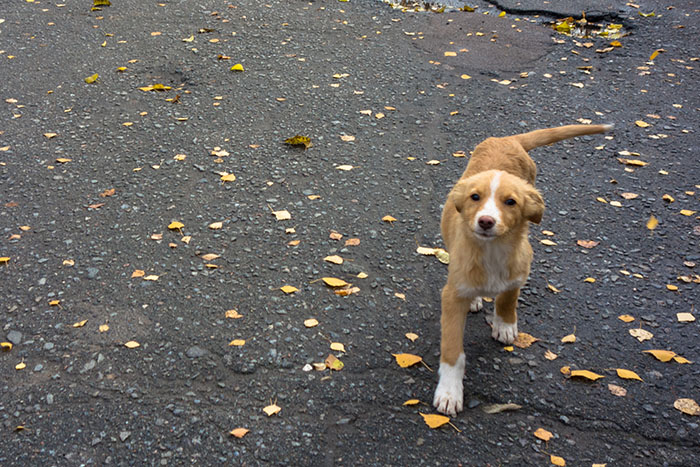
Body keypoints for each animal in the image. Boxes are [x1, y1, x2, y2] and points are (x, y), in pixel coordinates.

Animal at [434, 124, 608, 416]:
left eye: (511, 202)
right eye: (475, 197)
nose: (486, 221)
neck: (492, 250)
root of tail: (507, 139)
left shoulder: (519, 269)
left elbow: (508, 297)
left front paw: (504, 325)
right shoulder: (452, 295)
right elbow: (452, 350)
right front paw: (449, 393)